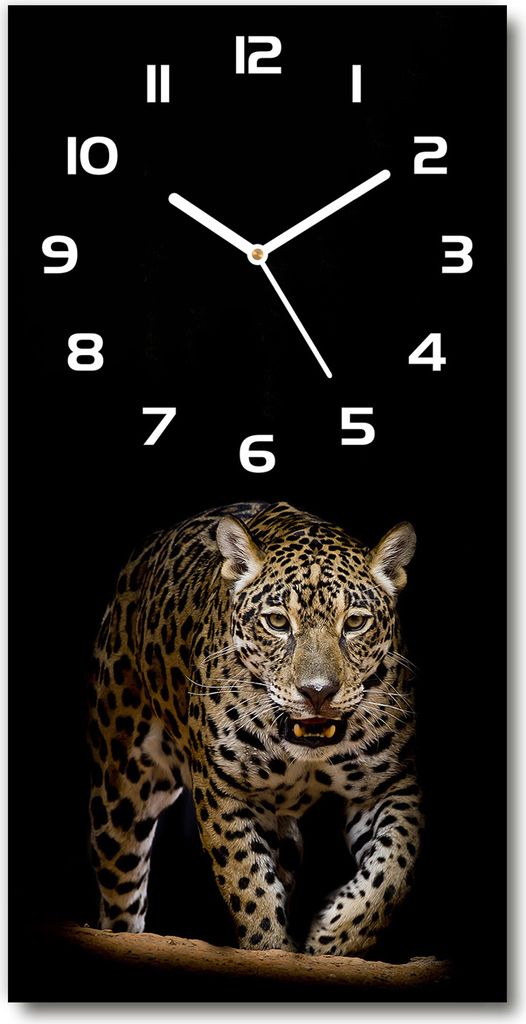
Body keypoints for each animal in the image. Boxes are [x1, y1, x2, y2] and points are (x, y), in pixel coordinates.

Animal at [88, 501, 422, 955]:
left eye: (354, 623)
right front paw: (271, 945)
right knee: (121, 890)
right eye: (277, 622)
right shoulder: (224, 790)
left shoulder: (389, 784)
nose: (318, 692)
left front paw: (331, 937)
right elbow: (248, 884)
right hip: (121, 788)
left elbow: (394, 868)